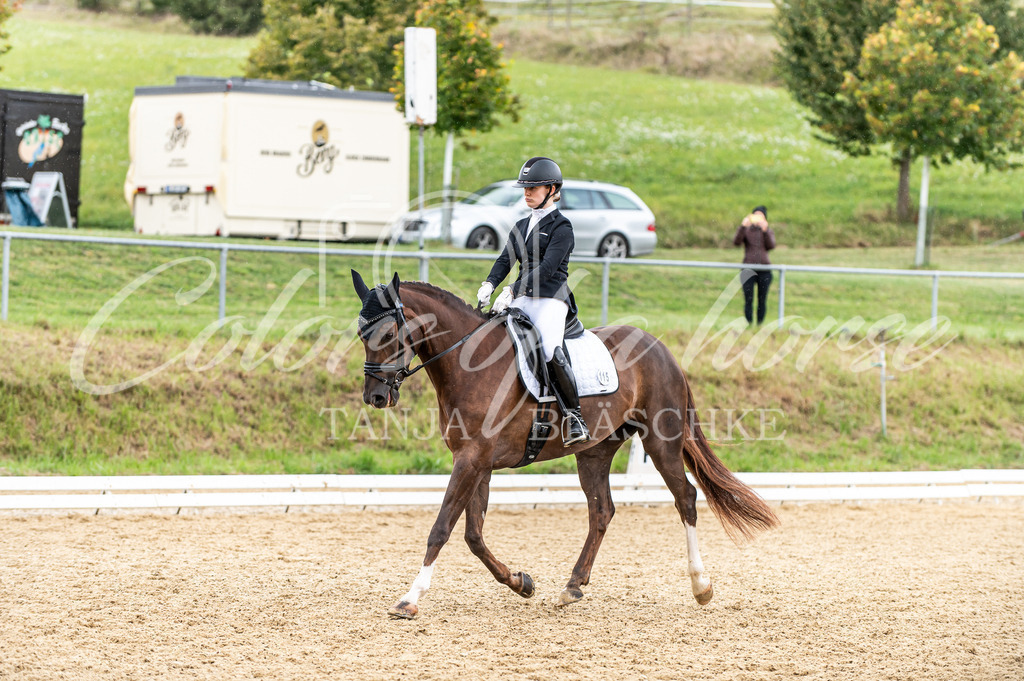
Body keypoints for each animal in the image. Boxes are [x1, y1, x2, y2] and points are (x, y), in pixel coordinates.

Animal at [352, 270, 774, 614]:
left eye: (388, 334)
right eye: (360, 334)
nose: (375, 397)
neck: (470, 365)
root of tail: (662, 349)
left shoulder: (472, 460)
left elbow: (442, 528)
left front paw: (409, 599)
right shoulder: (476, 461)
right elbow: (473, 535)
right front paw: (521, 582)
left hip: (661, 441)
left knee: (685, 497)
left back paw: (701, 586)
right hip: (595, 452)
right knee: (602, 510)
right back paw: (573, 586)